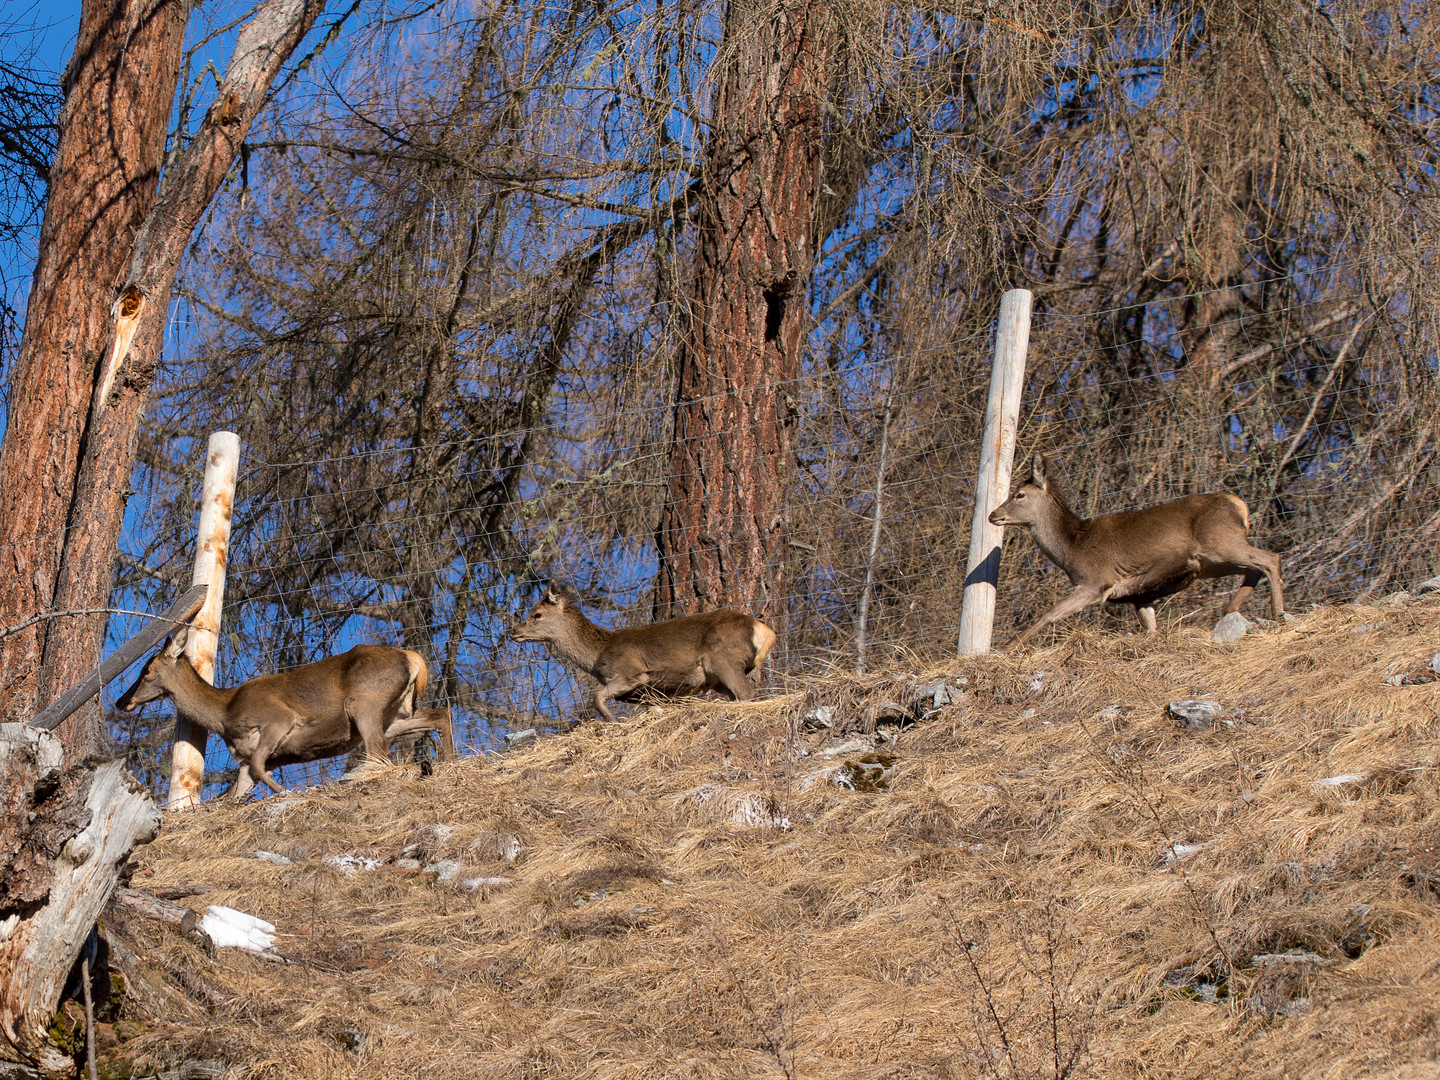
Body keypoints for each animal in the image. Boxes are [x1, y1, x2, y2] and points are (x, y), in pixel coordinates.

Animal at [117, 630, 455, 800]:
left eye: (146, 670)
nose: (122, 701)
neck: (224, 712)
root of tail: (414, 659)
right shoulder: (250, 757)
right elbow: (235, 793)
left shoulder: (278, 720)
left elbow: (257, 768)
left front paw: (285, 792)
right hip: (396, 714)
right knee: (441, 713)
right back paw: (446, 762)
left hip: (365, 704)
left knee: (379, 752)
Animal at [506, 587, 777, 722]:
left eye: (537, 614)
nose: (513, 631)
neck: (597, 655)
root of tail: (764, 631)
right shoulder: (651, 695)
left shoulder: (632, 673)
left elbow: (596, 697)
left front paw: (613, 721)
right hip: (719, 678)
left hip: (723, 659)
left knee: (748, 693)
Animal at [990, 449, 1284, 650]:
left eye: (1019, 495)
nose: (993, 514)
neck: (1072, 548)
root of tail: (1240, 506)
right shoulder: (1140, 595)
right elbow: (1150, 629)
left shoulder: (1096, 582)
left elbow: (1051, 614)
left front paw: (1008, 647)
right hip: (1214, 561)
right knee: (1254, 568)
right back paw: (1231, 608)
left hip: (1221, 543)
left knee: (1270, 558)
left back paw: (1277, 613)